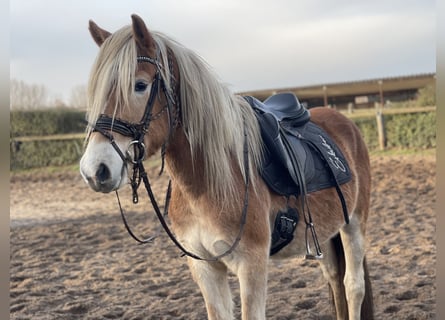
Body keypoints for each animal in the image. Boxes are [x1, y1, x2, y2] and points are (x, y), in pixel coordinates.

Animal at [79, 13, 372, 318]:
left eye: (140, 85)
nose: (95, 170)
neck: (210, 181)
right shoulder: (205, 268)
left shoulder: (251, 264)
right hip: (324, 234)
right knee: (334, 280)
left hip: (354, 222)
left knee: (352, 286)